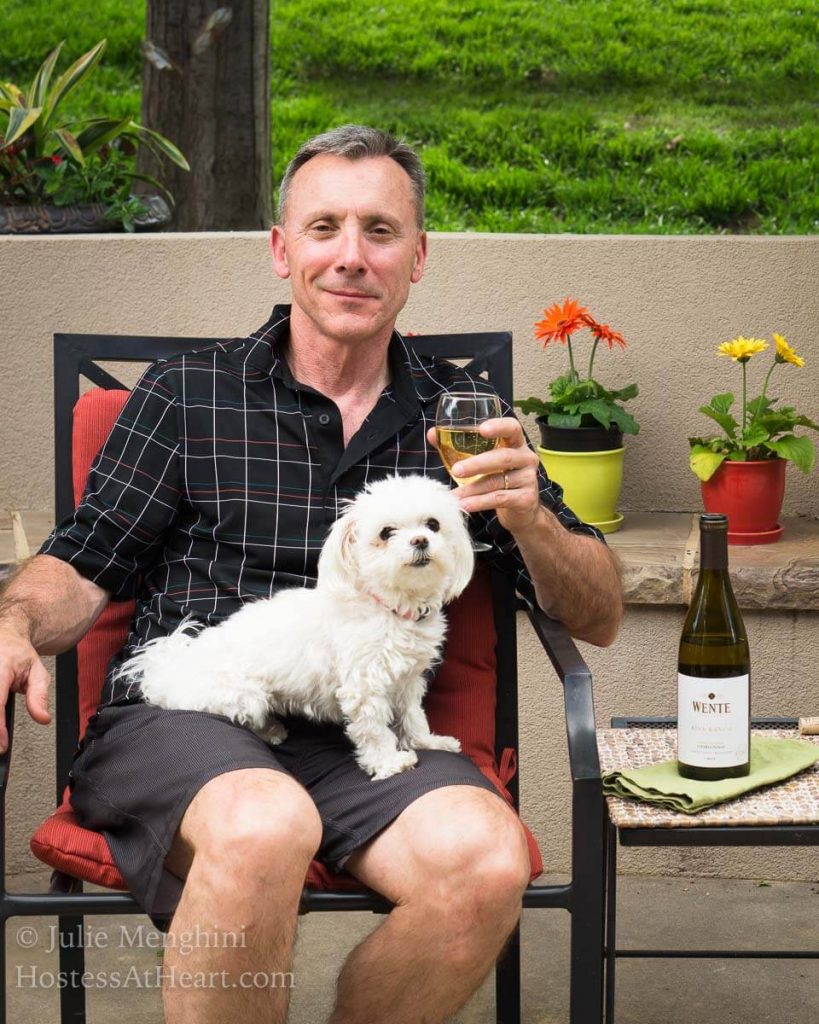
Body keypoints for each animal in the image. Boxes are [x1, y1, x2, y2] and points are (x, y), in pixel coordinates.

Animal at [114, 475, 472, 778]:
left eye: (433, 524)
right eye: (386, 533)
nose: (421, 540)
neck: (391, 607)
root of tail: (169, 671)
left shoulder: (408, 680)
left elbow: (413, 716)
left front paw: (427, 742)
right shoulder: (364, 687)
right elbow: (373, 729)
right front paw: (388, 762)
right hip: (245, 695)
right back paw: (270, 730)